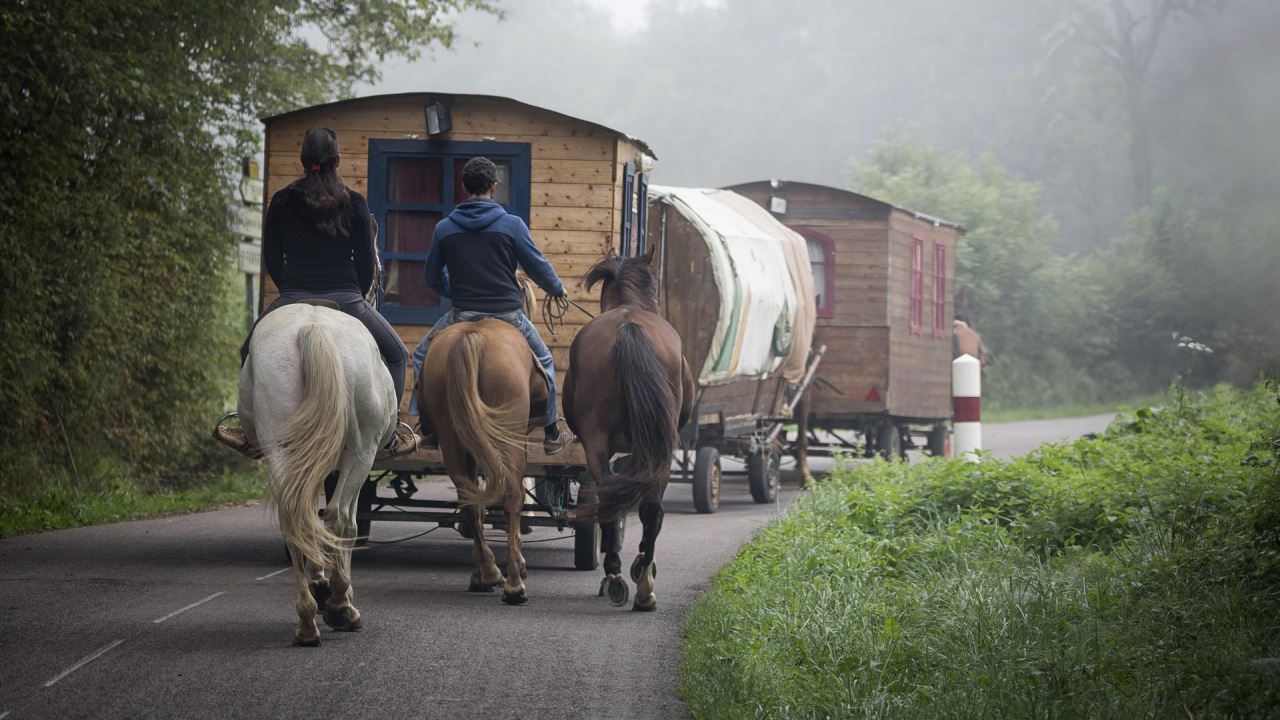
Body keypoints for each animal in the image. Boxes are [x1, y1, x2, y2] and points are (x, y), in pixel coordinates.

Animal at [238, 301, 396, 645]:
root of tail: (313, 327)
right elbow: (342, 523)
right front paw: (336, 594)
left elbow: (311, 517)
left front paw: (320, 585)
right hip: (361, 452)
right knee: (340, 519)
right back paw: (339, 608)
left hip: (281, 450)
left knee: (294, 519)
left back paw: (307, 620)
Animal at [414, 316, 545, 602]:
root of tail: (472, 336)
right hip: (507, 435)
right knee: (512, 496)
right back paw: (514, 584)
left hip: (451, 436)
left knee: (469, 500)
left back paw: (487, 573)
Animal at [568, 248, 696, 609]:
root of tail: (627, 327)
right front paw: (641, 564)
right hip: (657, 445)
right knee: (647, 506)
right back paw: (641, 584)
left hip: (600, 442)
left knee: (614, 495)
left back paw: (617, 576)